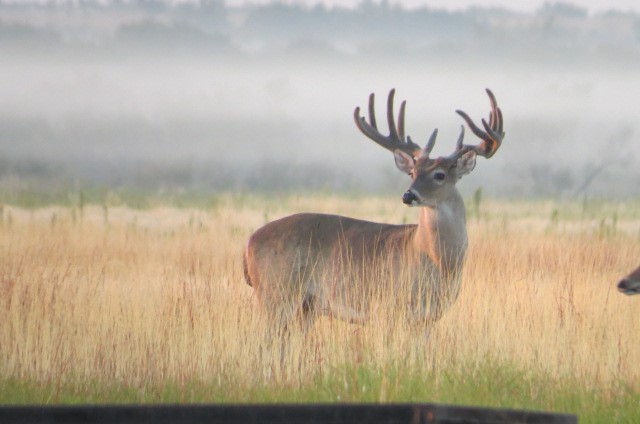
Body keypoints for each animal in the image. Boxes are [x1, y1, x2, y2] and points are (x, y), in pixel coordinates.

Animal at [244, 88, 504, 330]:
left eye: (439, 175)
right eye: (412, 173)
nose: (408, 195)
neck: (436, 260)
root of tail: (248, 244)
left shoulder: (427, 319)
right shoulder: (390, 307)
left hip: (305, 306)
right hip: (276, 293)